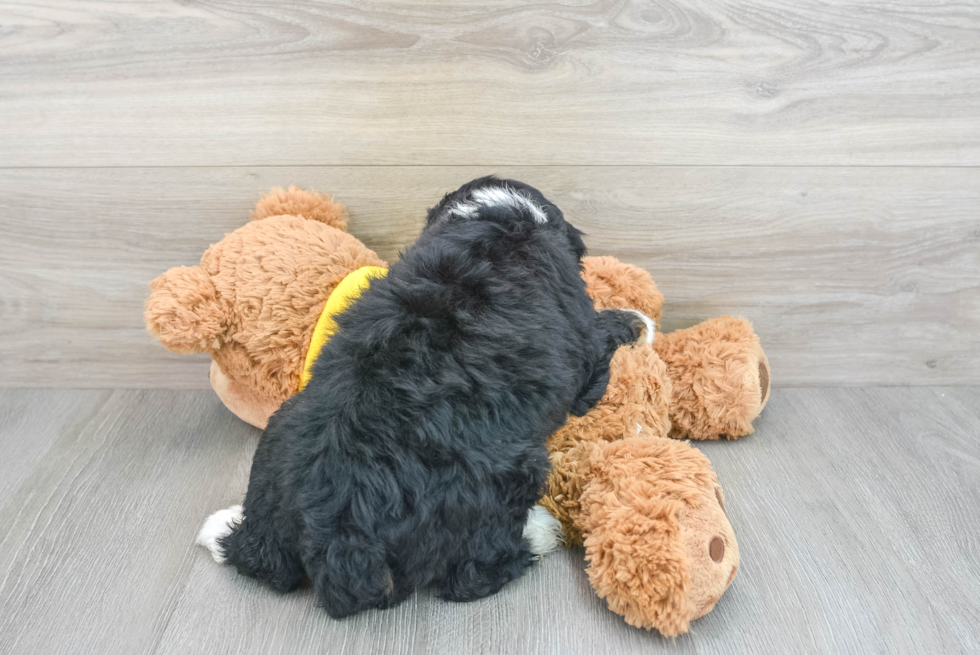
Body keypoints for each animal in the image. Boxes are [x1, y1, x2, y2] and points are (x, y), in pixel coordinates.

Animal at [197, 177, 652, 616]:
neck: (501, 217)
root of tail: (340, 536)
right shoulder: (583, 357)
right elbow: (601, 337)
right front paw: (638, 322)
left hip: (280, 434)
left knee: (260, 557)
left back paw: (224, 525)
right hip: (510, 477)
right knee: (473, 574)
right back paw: (540, 532)